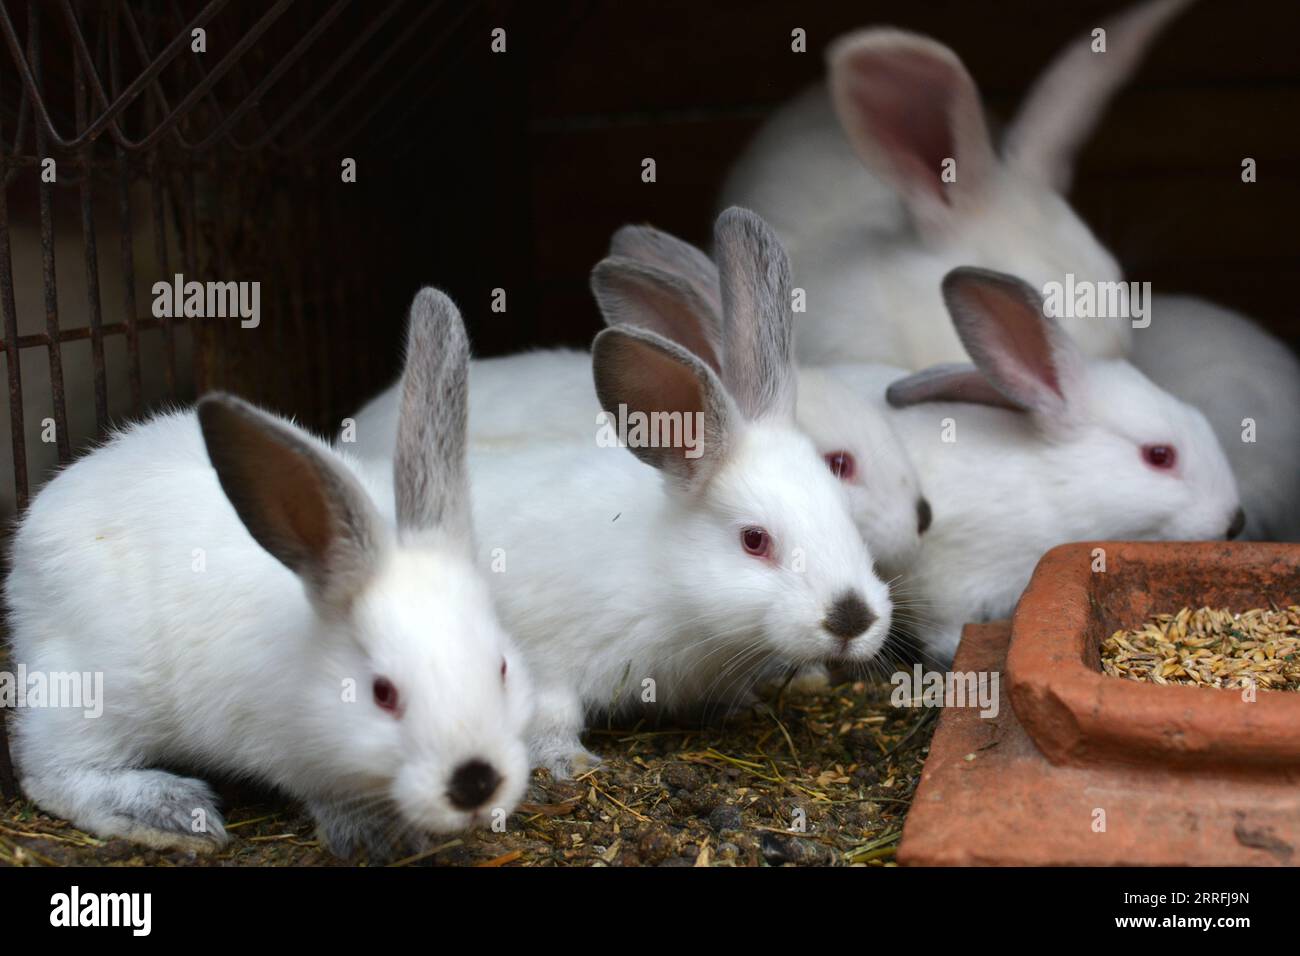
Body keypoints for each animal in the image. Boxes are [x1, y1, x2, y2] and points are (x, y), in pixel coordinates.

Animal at [5, 287, 533, 858]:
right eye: (382, 693)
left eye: (502, 667)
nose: (476, 782)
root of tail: (30, 538)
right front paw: (377, 839)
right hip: (94, 692)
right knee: (46, 768)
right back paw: (169, 811)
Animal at [457, 210, 894, 780]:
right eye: (754, 540)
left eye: (846, 516)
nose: (852, 618)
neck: (669, 585)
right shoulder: (546, 658)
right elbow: (552, 715)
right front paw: (572, 764)